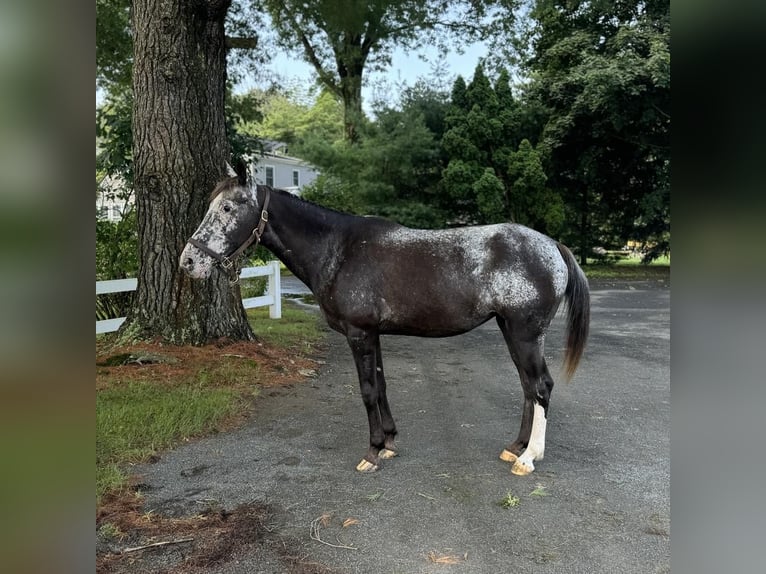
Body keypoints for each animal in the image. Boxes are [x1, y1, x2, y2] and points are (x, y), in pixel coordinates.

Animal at [183, 163, 592, 476]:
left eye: (228, 208)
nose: (188, 261)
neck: (338, 250)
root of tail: (553, 246)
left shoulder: (359, 334)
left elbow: (367, 391)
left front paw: (372, 451)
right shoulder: (372, 334)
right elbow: (380, 386)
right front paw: (390, 442)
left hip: (525, 333)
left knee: (540, 386)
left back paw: (528, 458)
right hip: (512, 331)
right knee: (528, 387)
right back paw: (516, 446)